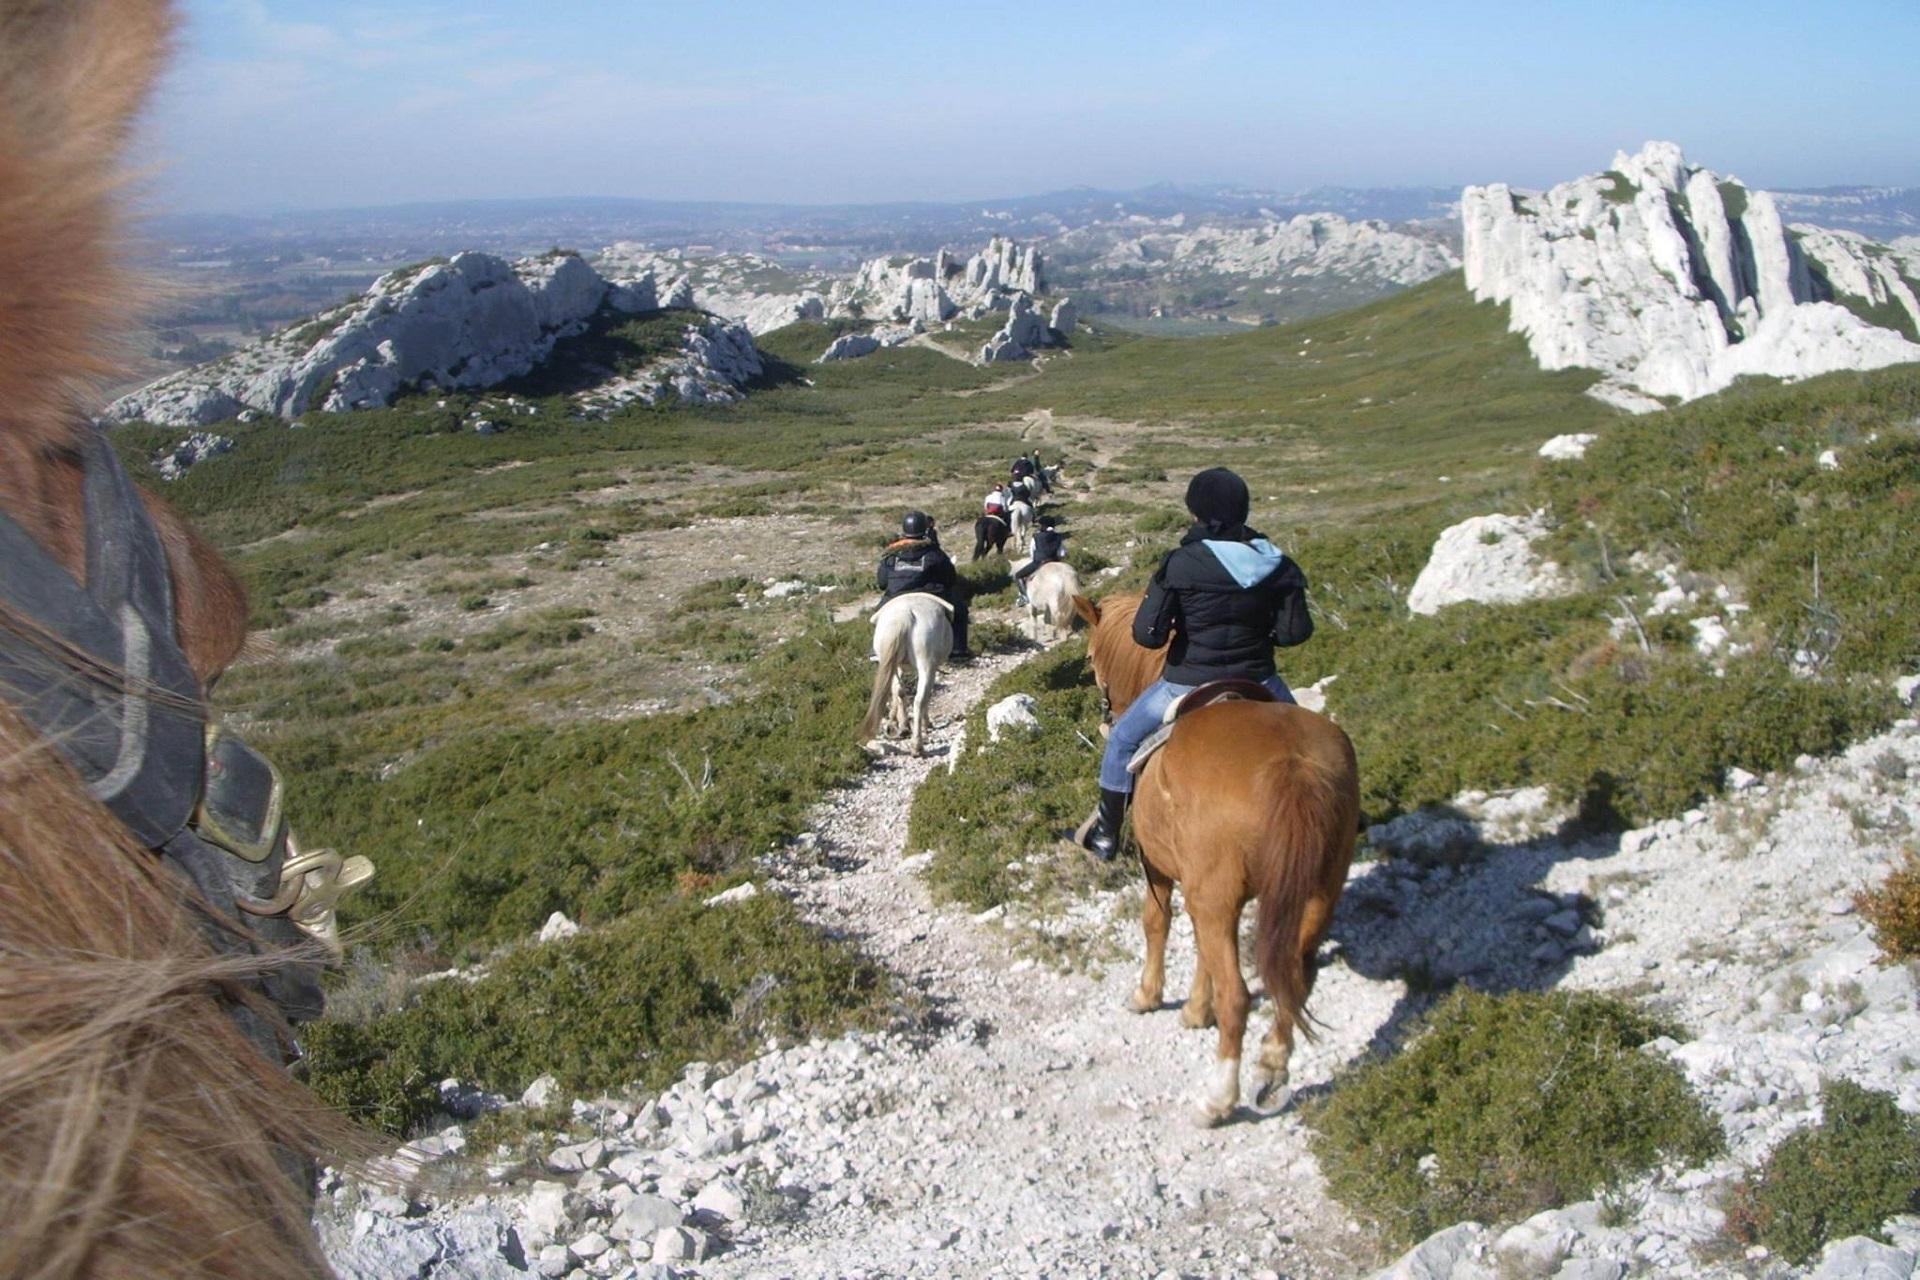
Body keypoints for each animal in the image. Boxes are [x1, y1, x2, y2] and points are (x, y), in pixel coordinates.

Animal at [864, 594, 952, 756]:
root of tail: (903, 616)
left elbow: (896, 692)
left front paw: (897, 722)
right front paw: (926, 724)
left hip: (892, 662)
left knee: (899, 691)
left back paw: (904, 728)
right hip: (926, 665)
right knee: (919, 700)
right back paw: (917, 746)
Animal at [1075, 591, 1359, 1120]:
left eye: (1090, 658)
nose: (1106, 718)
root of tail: (1292, 767)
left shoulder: (1162, 868)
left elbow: (1157, 923)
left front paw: (1150, 995)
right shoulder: (1207, 891)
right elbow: (1204, 950)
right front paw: (1193, 1009)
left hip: (1219, 894)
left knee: (1239, 996)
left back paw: (1219, 1097)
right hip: (1318, 892)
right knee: (1295, 975)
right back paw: (1271, 1066)